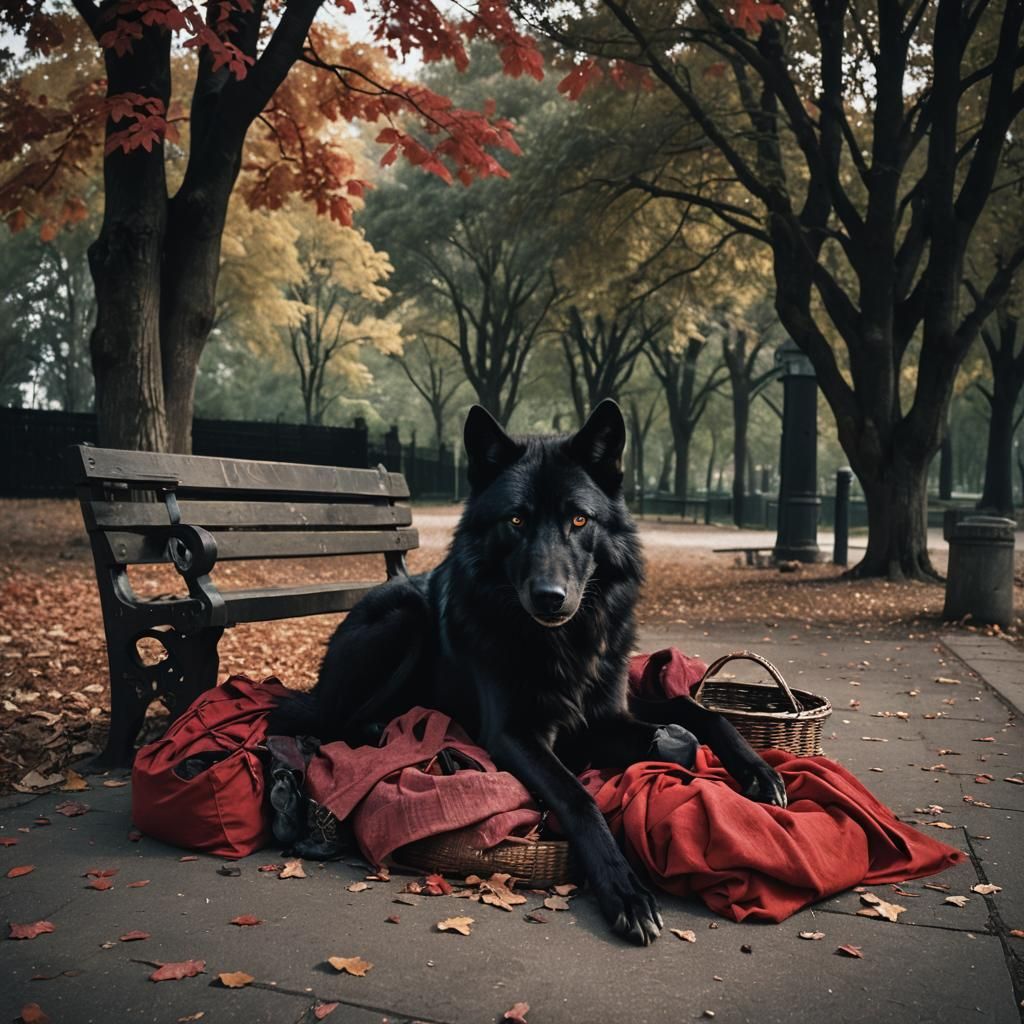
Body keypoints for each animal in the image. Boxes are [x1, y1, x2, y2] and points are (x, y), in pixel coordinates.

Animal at [271, 400, 787, 944]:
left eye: (580, 519)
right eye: (516, 519)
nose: (549, 597)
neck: (562, 643)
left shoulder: (610, 708)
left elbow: (698, 713)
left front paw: (756, 770)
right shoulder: (515, 735)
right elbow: (579, 797)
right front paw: (625, 890)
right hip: (405, 619)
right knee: (339, 724)